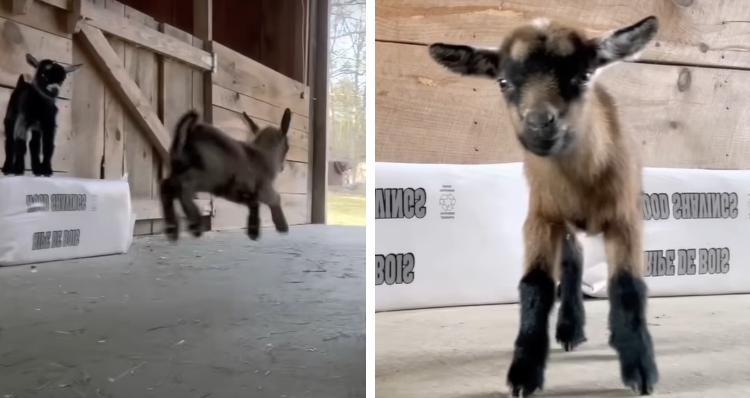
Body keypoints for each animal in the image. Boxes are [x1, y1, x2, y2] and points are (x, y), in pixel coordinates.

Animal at [160, 107, 292, 241]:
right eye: (287, 147)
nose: (282, 167)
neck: (265, 154)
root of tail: (190, 132)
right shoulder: (264, 190)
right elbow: (276, 199)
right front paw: (282, 226)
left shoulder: (240, 193)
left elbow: (254, 205)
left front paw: (253, 232)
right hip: (207, 177)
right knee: (184, 186)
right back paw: (195, 222)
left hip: (180, 172)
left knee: (166, 187)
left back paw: (172, 228)